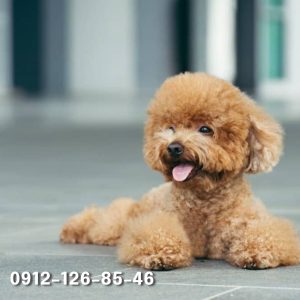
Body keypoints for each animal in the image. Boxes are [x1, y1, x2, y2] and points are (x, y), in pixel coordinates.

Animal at [59, 72, 300, 270]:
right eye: (170, 128)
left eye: (205, 129)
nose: (173, 147)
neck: (205, 200)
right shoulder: (159, 223)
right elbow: (158, 234)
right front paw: (160, 255)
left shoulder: (252, 222)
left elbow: (264, 235)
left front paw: (258, 253)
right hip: (118, 223)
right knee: (102, 219)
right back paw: (71, 229)